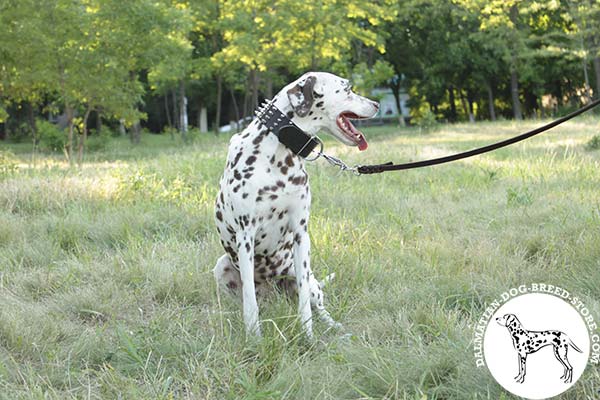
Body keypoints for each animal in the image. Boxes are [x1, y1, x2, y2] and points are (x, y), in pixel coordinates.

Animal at [213, 72, 378, 338]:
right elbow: (250, 301)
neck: (277, 153)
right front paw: (254, 337)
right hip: (222, 267)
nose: (377, 104)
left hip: (310, 280)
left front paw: (308, 336)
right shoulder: (245, 235)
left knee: (318, 305)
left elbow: (304, 305)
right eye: (348, 88)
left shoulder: (301, 233)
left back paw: (336, 328)